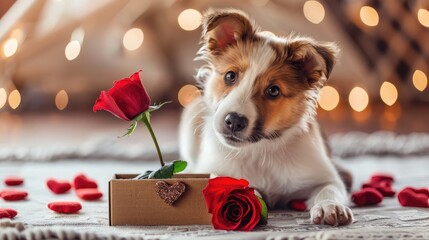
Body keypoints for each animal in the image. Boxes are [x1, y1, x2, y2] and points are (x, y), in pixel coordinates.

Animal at [179, 7, 352, 225]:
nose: (234, 121)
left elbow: (329, 189)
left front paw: (330, 206)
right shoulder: (213, 169)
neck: (260, 150)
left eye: (273, 91)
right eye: (230, 76)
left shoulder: (323, 175)